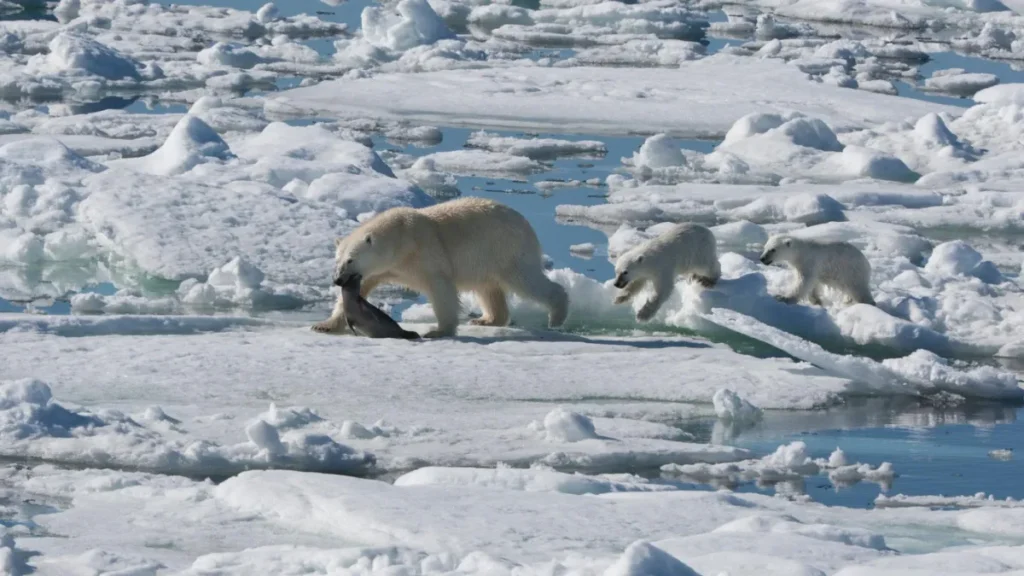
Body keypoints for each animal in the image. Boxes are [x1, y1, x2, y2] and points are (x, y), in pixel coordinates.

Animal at [313, 197, 569, 338]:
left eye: (350, 260)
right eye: (337, 260)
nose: (338, 280)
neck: (401, 238)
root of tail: (526, 223)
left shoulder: (426, 254)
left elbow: (441, 289)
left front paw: (438, 331)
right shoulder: (383, 268)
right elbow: (364, 285)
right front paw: (324, 325)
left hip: (506, 249)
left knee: (527, 281)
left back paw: (556, 316)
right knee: (488, 288)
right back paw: (486, 320)